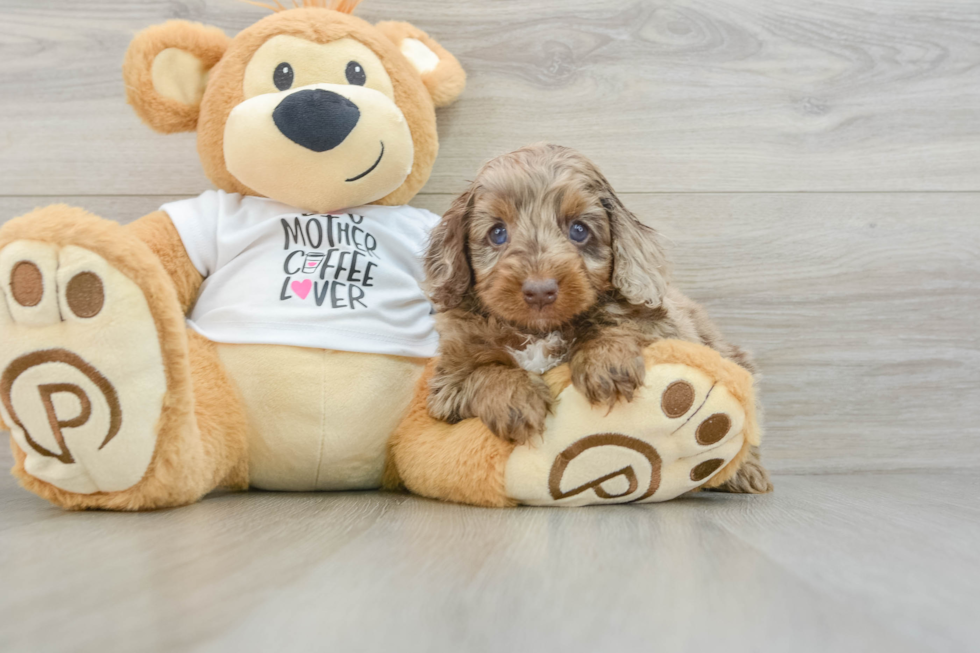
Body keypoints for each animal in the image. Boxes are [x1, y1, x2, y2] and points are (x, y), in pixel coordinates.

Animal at [424, 145, 768, 494]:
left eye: (579, 230)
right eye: (497, 233)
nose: (540, 291)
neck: (540, 332)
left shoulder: (664, 327)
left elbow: (622, 323)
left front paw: (606, 362)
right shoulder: (447, 383)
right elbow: (484, 371)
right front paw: (515, 401)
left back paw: (744, 473)